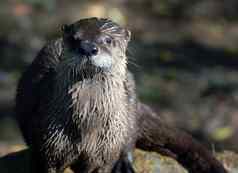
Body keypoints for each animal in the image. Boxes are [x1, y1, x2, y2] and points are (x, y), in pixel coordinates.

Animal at [14, 17, 227, 173]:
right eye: (75, 39)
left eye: (108, 40)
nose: (88, 48)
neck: (88, 124)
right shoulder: (48, 148)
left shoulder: (104, 153)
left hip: (128, 104)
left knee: (130, 136)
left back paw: (124, 163)